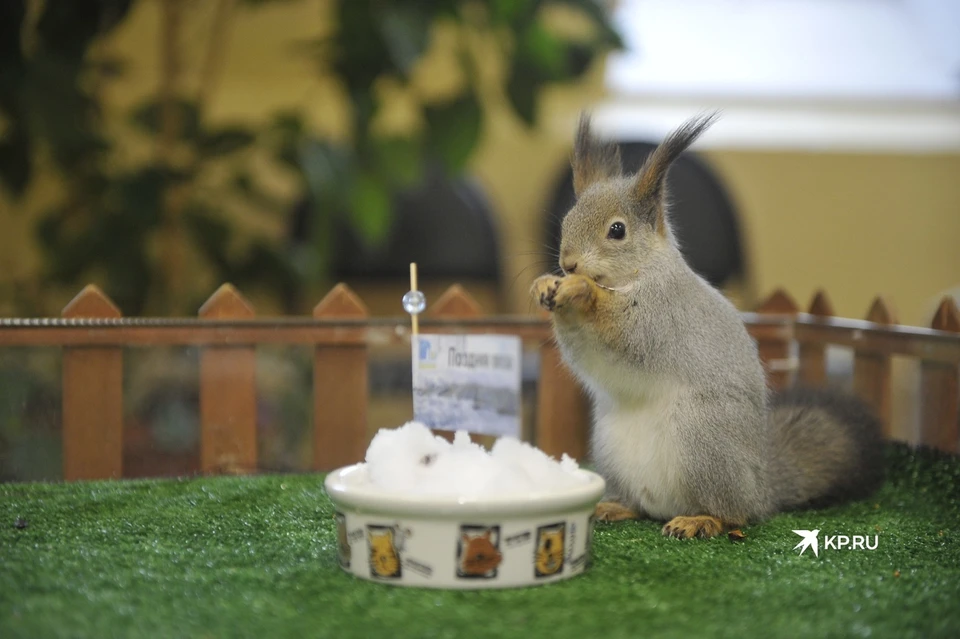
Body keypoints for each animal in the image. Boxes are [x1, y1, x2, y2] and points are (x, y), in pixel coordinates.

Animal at [532, 113, 885, 539]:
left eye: (617, 230)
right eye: (567, 220)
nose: (567, 264)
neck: (633, 276)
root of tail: (761, 489)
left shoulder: (663, 314)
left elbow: (627, 332)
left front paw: (582, 290)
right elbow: (582, 353)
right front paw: (545, 286)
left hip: (703, 441)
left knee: (734, 515)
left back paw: (701, 519)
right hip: (612, 449)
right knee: (643, 505)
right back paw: (617, 507)